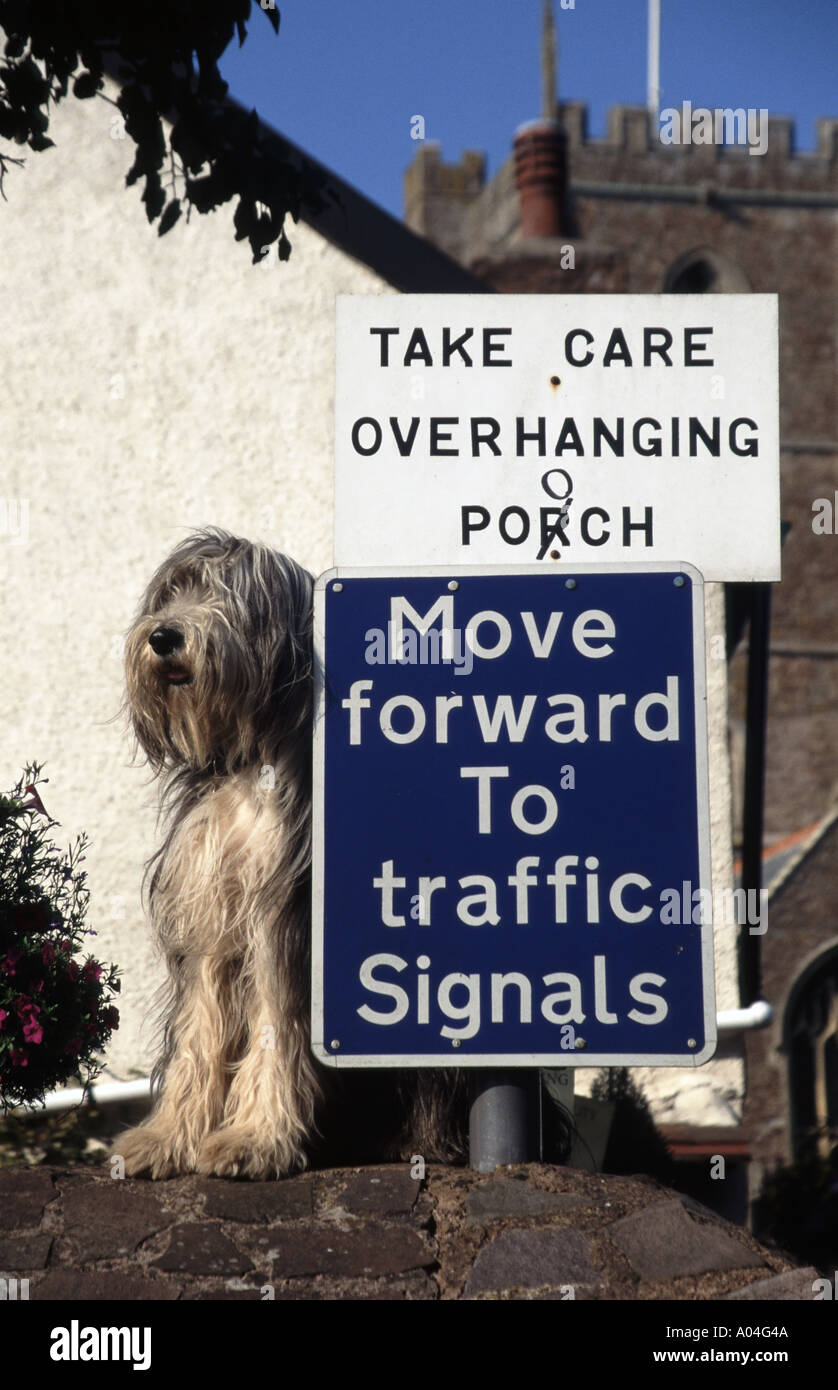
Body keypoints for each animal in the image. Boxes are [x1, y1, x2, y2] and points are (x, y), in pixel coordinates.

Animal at [113, 525, 466, 1178]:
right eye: (172, 592)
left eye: (229, 593)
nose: (163, 636)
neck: (248, 764)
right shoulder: (212, 923)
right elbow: (198, 1036)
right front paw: (167, 1138)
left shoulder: (283, 920)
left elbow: (276, 1030)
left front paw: (255, 1140)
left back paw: (419, 1140)